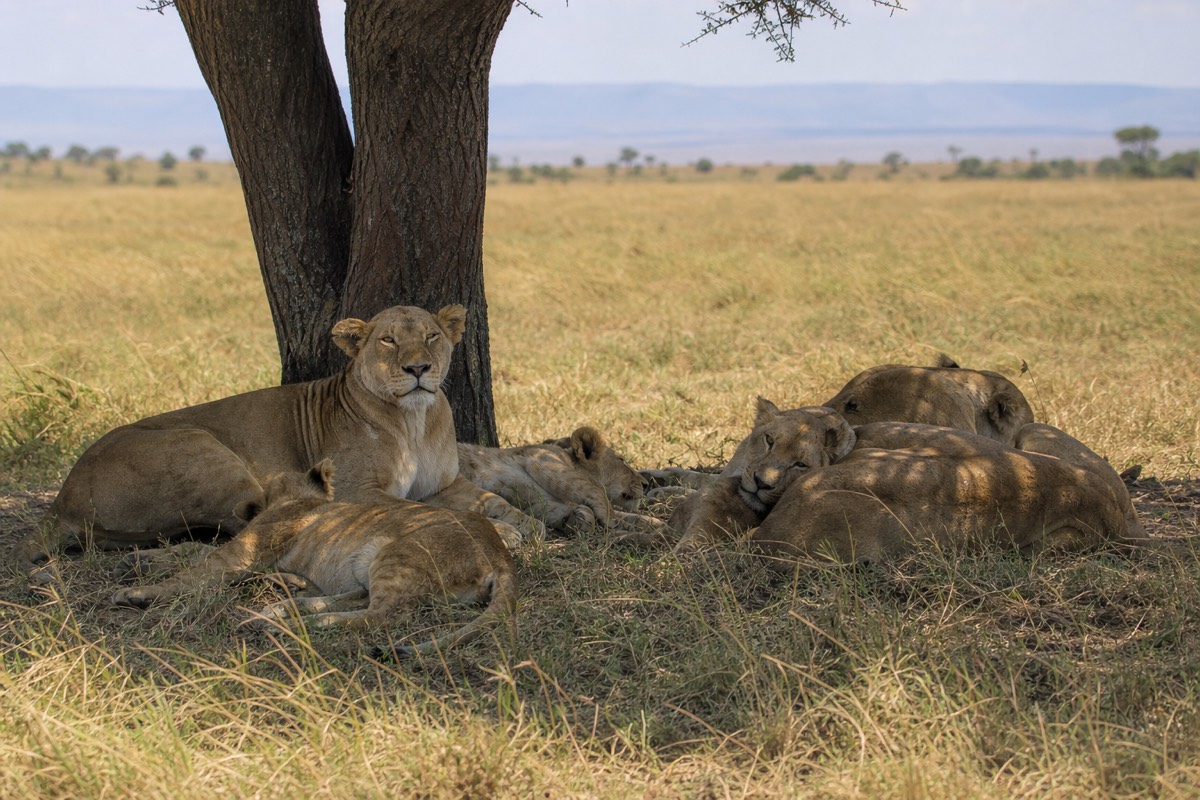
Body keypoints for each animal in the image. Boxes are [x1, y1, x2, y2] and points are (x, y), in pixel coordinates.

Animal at [12, 304, 543, 582]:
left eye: (432, 336)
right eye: (388, 341)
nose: (418, 369)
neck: (413, 418)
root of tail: (60, 498)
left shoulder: (444, 483)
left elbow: (491, 500)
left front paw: (530, 525)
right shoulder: (358, 489)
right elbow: (426, 511)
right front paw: (507, 534)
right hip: (206, 452)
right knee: (243, 529)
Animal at [111, 460, 517, 656]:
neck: (302, 497)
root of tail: (500, 555)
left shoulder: (244, 550)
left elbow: (195, 571)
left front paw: (138, 592)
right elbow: (194, 551)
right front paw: (138, 559)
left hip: (395, 553)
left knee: (378, 616)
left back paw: (294, 623)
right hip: (371, 562)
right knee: (357, 599)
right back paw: (278, 609)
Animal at [458, 426, 667, 536]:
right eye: (622, 460)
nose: (646, 484)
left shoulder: (539, 502)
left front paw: (655, 523)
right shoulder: (544, 462)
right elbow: (598, 493)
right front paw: (611, 521)